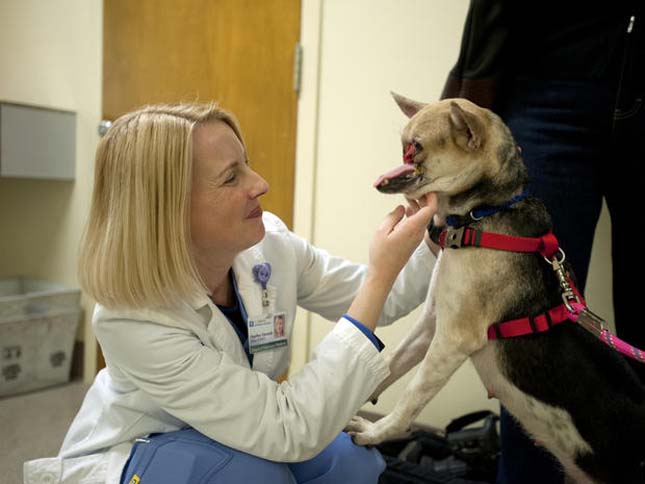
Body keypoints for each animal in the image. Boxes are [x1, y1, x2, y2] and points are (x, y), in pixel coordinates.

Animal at [348, 94, 644, 484]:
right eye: (404, 146)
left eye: (415, 148)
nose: (394, 164)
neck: (484, 213)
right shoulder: (431, 325)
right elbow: (390, 363)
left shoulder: (453, 340)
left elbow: (410, 397)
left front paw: (375, 433)